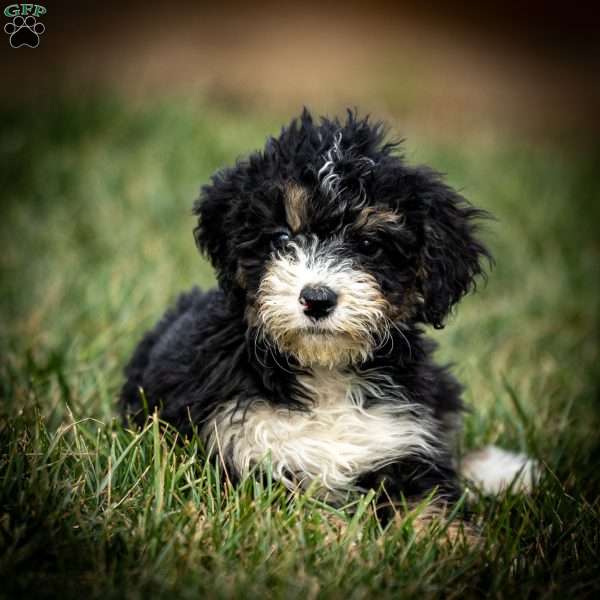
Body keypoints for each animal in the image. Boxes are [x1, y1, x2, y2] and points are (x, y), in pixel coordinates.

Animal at [119, 109, 536, 524]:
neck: (326, 374)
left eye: (368, 244)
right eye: (282, 238)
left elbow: (432, 507)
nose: (317, 299)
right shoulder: (247, 455)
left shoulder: (405, 441)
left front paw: (453, 536)